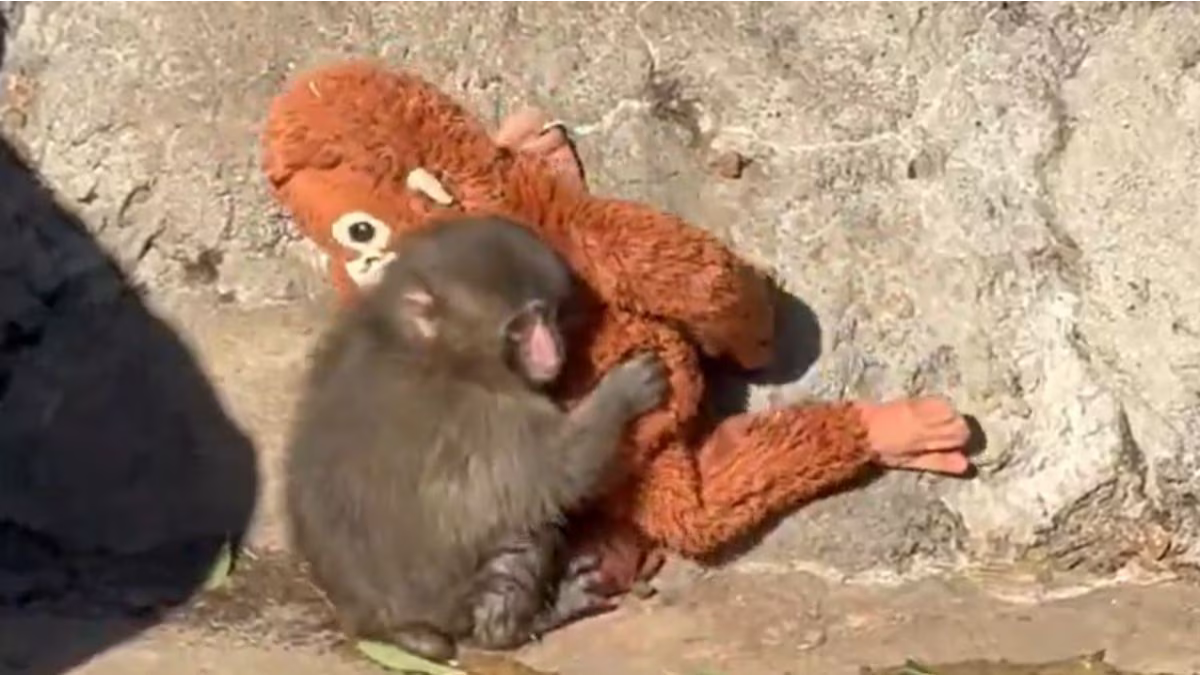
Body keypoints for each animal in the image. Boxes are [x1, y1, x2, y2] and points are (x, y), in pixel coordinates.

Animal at [283, 214, 668, 663]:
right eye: (520, 327)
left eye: (546, 315)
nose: (551, 351)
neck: (430, 349)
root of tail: (375, 624)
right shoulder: (487, 414)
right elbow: (562, 467)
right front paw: (623, 391)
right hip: (452, 601)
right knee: (521, 531)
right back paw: (520, 625)